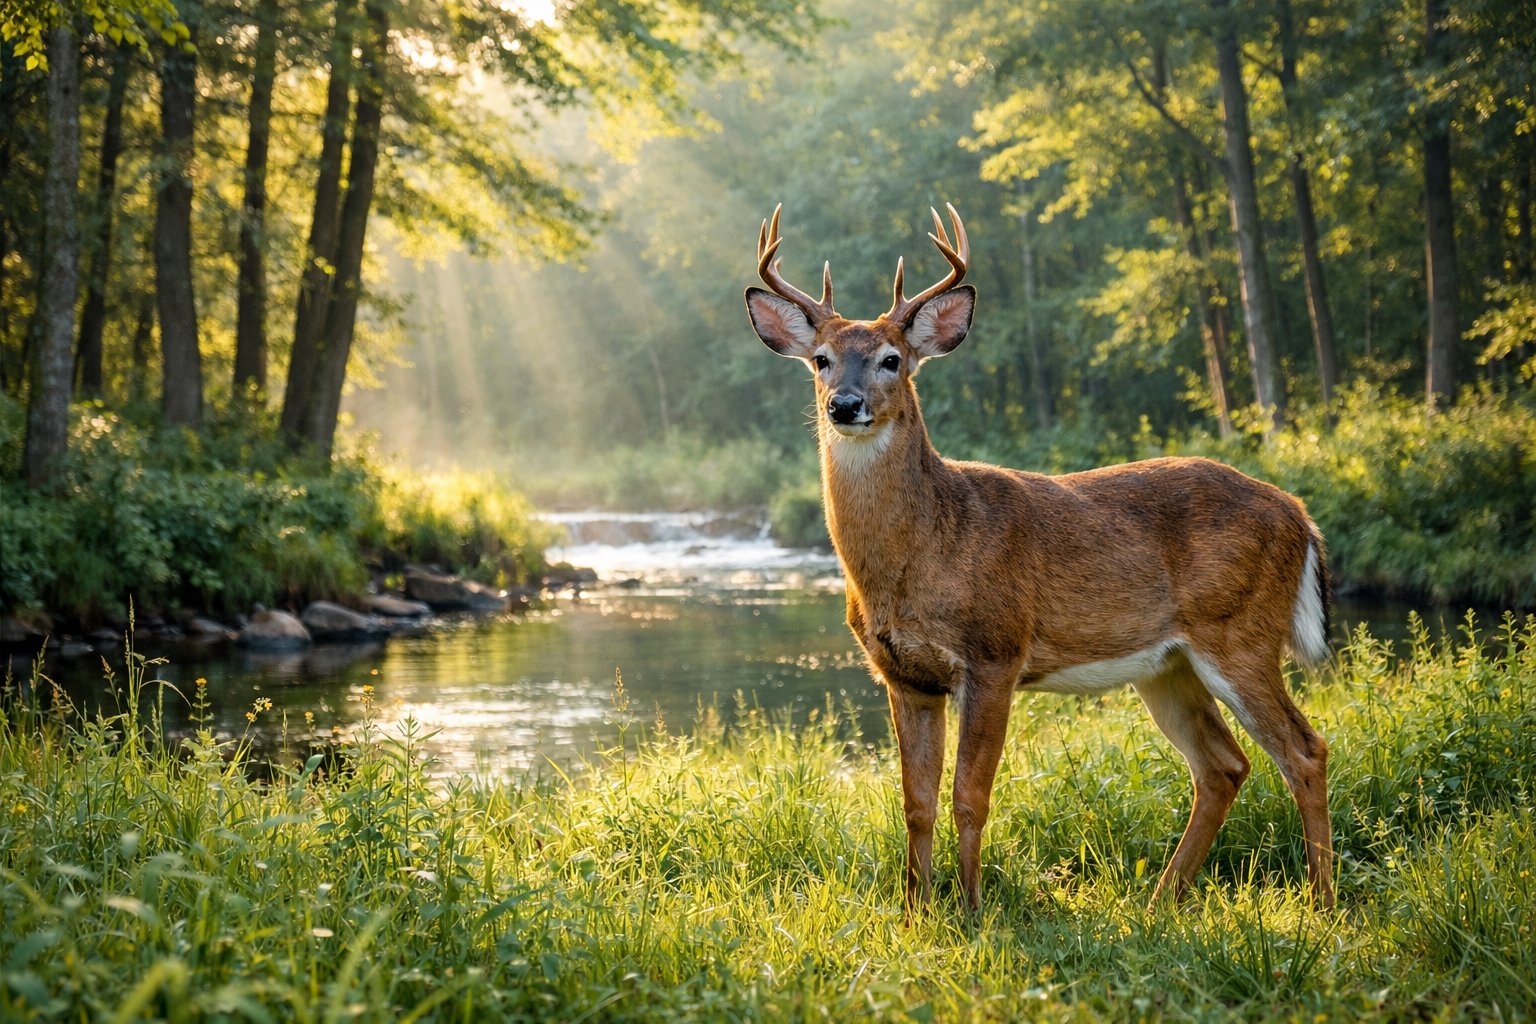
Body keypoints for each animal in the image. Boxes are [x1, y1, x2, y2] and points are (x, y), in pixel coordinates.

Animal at [743, 204, 1335, 914]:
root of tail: (1298, 512)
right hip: (1168, 664)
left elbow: (970, 796)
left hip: (1240, 632)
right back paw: (1159, 901)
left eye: (892, 359)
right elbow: (916, 803)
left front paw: (970, 911)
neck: (923, 551)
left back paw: (1324, 904)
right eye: (822, 360)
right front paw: (915, 913)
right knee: (1223, 765)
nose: (845, 404)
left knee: (1304, 750)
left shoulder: (995, 653)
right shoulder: (903, 675)